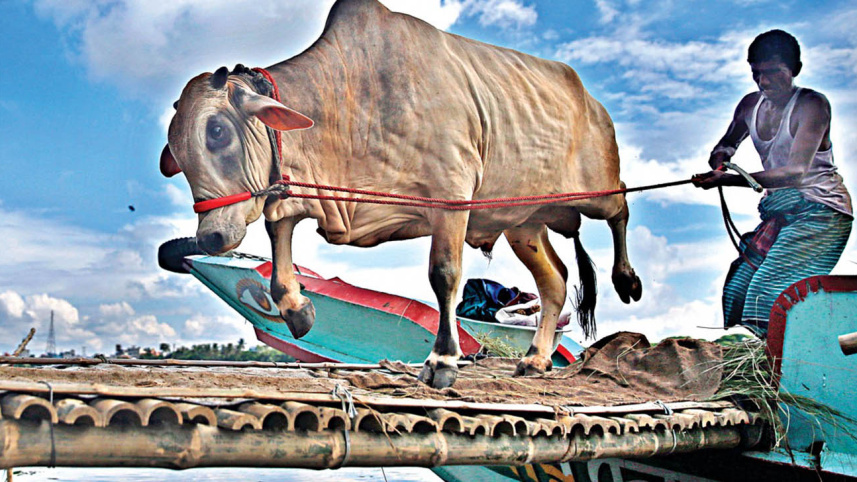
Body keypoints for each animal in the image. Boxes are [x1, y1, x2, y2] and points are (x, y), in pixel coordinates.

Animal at [160, 0, 642, 388]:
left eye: (217, 131)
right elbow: (280, 251)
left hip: (595, 190)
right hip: (523, 223)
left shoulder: (451, 198)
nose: (210, 238)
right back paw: (537, 359)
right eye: (176, 151)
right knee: (555, 280)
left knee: (620, 205)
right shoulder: (302, 192)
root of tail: (590, 100)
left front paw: (442, 361)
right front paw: (298, 309)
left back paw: (626, 278)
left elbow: (444, 275)